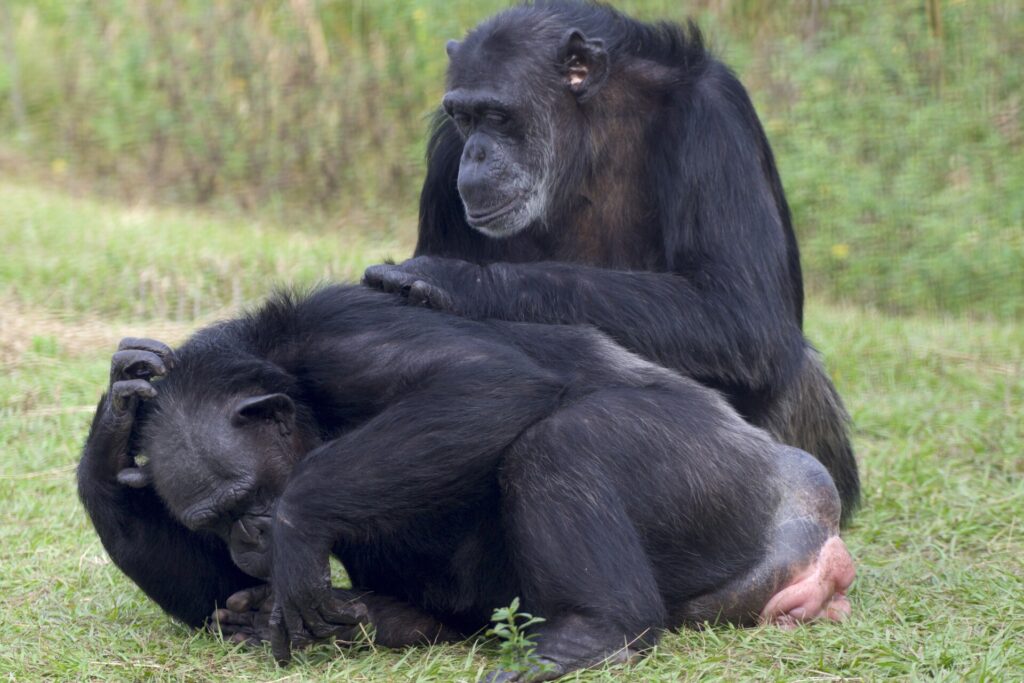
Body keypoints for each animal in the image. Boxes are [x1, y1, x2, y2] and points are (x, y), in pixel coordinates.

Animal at [79, 282, 860, 679]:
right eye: (209, 521)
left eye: (243, 501)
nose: (244, 539)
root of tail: (804, 517)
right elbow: (211, 599)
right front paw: (119, 408)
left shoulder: (342, 333)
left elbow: (487, 382)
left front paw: (296, 531)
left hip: (719, 484)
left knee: (566, 439)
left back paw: (592, 635)